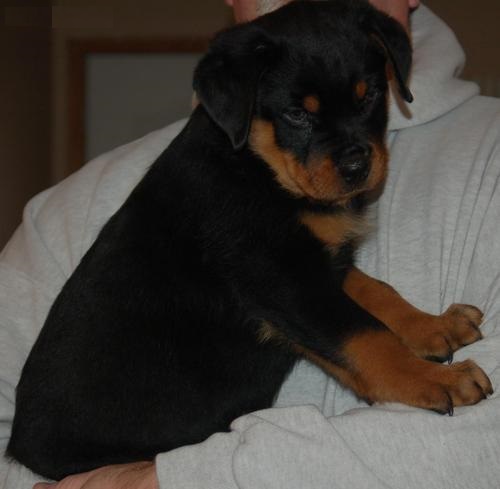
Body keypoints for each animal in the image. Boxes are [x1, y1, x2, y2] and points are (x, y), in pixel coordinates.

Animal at [7, 0, 492, 480]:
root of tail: (21, 447)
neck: (257, 166)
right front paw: (436, 379)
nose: (357, 167)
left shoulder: (316, 263)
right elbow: (365, 335)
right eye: (297, 114)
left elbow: (377, 293)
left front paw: (434, 325)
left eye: (369, 95)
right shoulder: (279, 276)